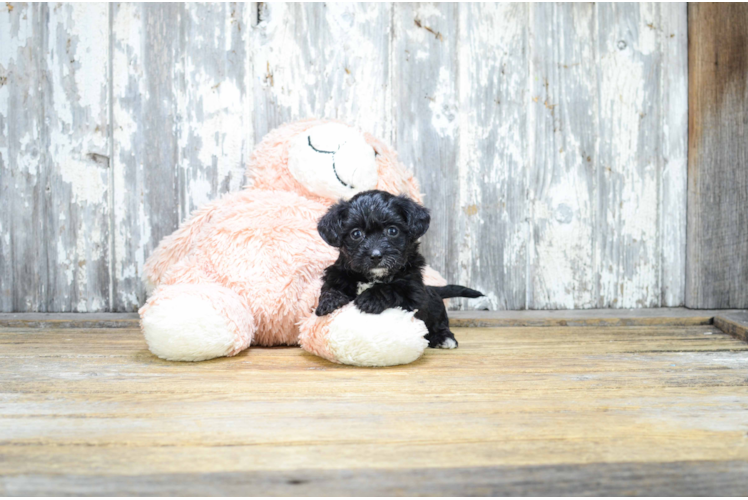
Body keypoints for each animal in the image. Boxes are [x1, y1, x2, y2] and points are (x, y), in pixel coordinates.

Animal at [312, 189, 482, 350]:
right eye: (356, 234)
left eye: (392, 231)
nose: (376, 255)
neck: (371, 277)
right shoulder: (336, 275)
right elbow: (330, 288)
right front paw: (330, 300)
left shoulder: (413, 293)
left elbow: (393, 288)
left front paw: (370, 297)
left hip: (435, 308)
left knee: (439, 323)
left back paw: (444, 338)